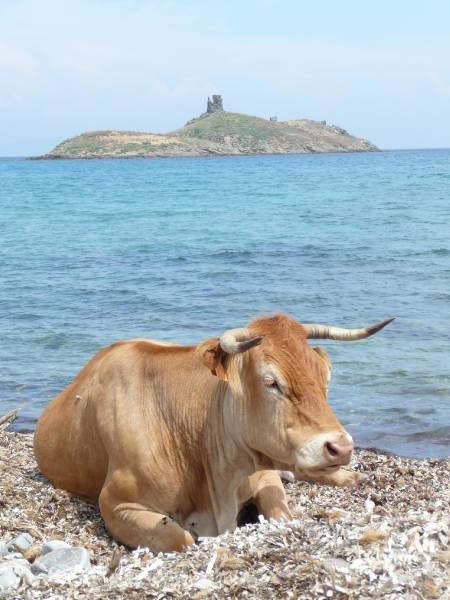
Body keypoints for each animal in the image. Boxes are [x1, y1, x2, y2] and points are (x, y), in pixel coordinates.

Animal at [34, 314, 394, 552]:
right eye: (271, 381)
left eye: (325, 376)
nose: (341, 447)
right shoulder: (115, 501)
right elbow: (180, 537)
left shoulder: (263, 472)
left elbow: (282, 512)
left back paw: (350, 476)